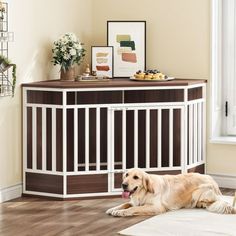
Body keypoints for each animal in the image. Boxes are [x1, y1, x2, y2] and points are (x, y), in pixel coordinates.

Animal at [106, 169, 235, 217]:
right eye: (126, 175)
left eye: (136, 177)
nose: (123, 185)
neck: (144, 192)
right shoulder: (134, 201)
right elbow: (126, 204)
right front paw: (113, 209)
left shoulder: (157, 207)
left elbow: (133, 208)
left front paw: (121, 212)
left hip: (198, 192)